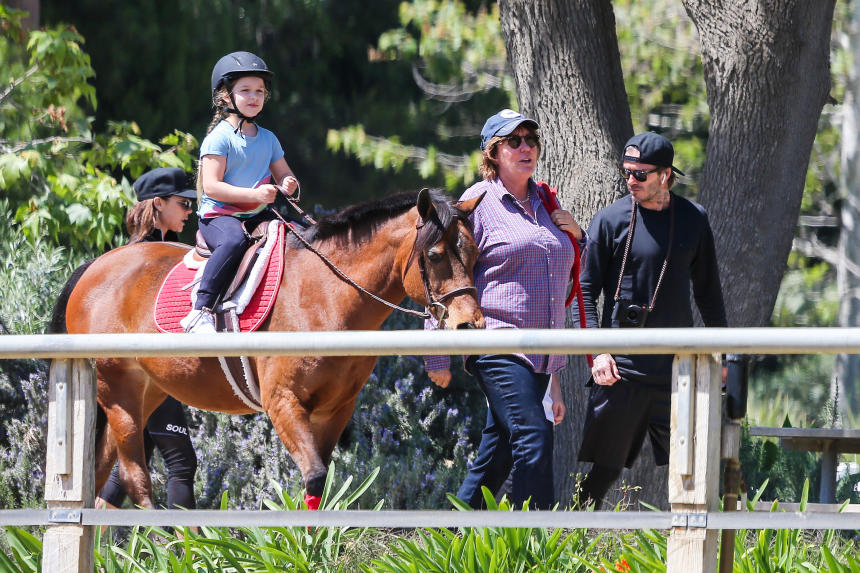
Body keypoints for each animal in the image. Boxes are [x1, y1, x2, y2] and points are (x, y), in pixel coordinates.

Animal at [53, 190, 484, 508]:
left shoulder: (334, 410)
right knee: (134, 479)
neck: (326, 295)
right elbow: (314, 476)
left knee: (104, 473)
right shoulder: (282, 402)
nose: (470, 325)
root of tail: (95, 266)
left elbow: (318, 484)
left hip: (145, 394)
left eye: (476, 253)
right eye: (435, 256)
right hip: (120, 393)